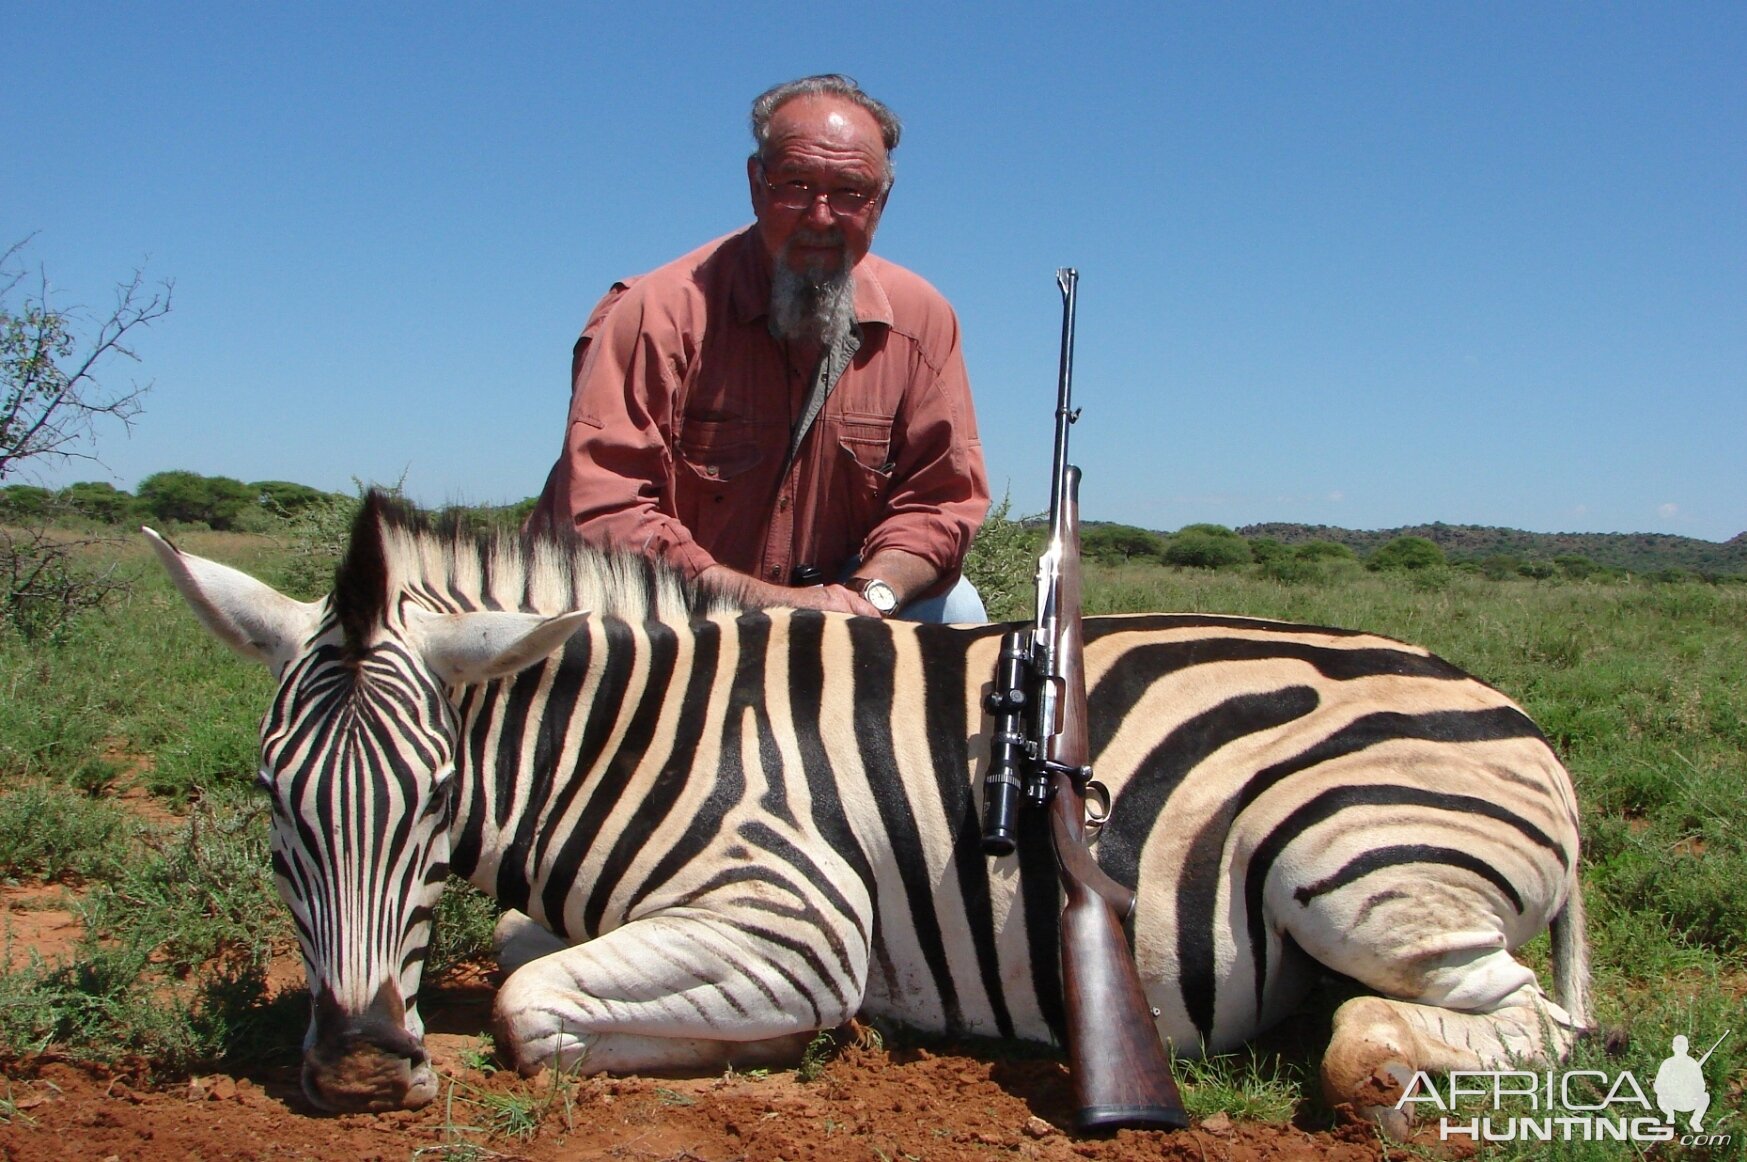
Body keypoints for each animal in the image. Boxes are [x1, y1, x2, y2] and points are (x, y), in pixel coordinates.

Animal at [150, 492, 1593, 1125]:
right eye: (273, 802)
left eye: (438, 794)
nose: (352, 1066)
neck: (637, 738)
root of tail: (1526, 725)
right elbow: (520, 950)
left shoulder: (793, 913)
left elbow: (526, 1003)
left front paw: (774, 1042)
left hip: (1350, 866)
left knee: (1523, 1022)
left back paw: (1368, 1058)